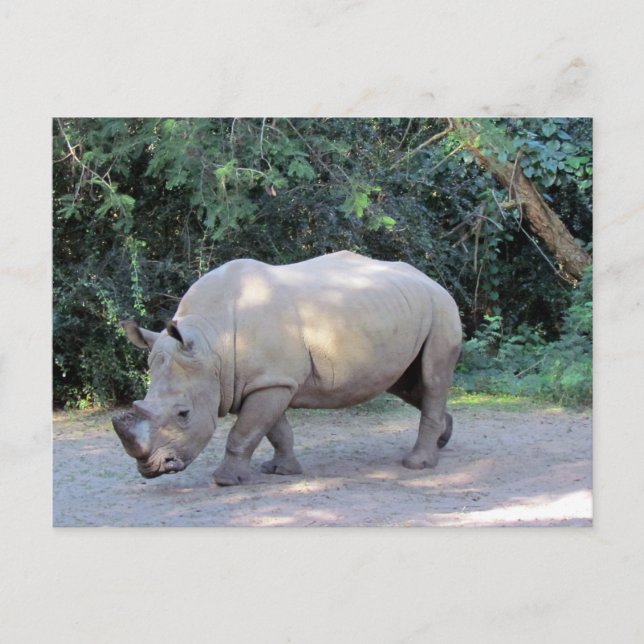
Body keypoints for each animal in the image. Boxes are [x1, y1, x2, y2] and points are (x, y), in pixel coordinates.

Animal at [112, 251, 462, 486]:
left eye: (184, 414)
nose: (152, 468)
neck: (211, 345)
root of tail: (430, 280)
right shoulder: (267, 380)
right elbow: (275, 431)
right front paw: (281, 471)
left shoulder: (271, 381)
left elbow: (244, 433)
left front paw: (225, 481)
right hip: (404, 311)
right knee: (407, 384)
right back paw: (443, 438)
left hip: (441, 308)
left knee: (432, 379)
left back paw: (417, 465)